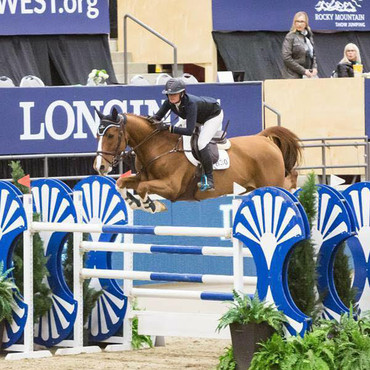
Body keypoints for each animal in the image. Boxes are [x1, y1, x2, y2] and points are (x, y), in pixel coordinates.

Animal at [93, 108, 300, 212]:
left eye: (110, 135)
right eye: (97, 135)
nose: (99, 167)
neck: (158, 147)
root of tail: (263, 139)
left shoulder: (172, 187)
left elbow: (144, 189)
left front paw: (152, 205)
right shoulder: (142, 177)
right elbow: (121, 183)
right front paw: (134, 202)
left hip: (272, 181)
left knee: (288, 184)